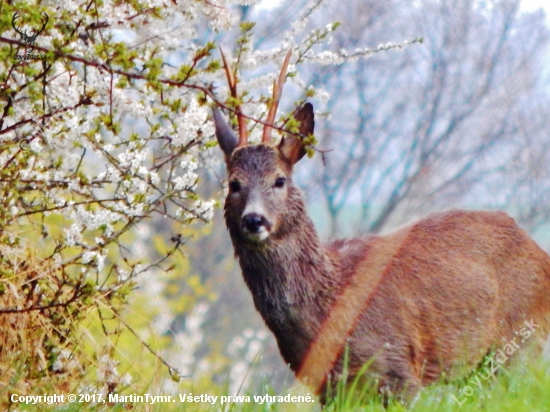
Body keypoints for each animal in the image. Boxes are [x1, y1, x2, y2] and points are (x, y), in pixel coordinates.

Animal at [213, 50, 550, 402]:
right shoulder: (328, 387)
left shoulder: (397, 367)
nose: (254, 219)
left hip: (521, 339)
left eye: (279, 180)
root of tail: (541, 253)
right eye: (233, 184)